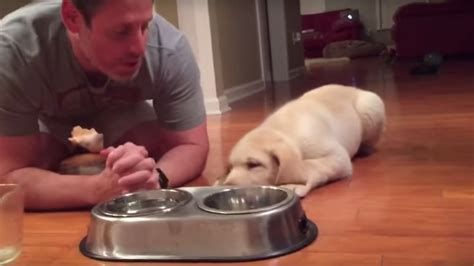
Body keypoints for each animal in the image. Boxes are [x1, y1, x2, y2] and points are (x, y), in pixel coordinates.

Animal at [215, 84, 386, 196]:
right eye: (229, 168)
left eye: (254, 164)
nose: (226, 186)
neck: (283, 129)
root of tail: (352, 88)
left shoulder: (338, 156)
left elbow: (310, 165)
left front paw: (293, 183)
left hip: (370, 105)